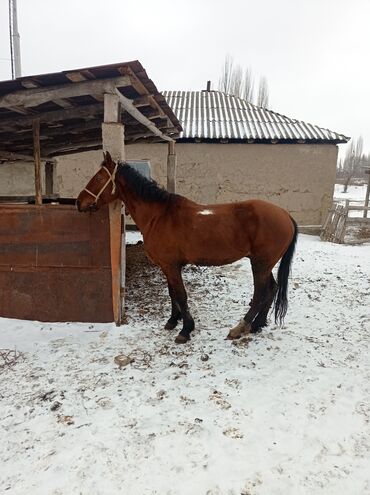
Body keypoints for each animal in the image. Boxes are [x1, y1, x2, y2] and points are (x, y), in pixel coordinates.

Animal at [76, 152, 298, 344]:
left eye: (98, 177)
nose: (79, 202)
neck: (159, 215)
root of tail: (285, 215)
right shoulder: (167, 266)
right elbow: (172, 293)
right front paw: (173, 321)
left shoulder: (171, 265)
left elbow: (181, 295)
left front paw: (185, 330)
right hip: (264, 264)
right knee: (271, 289)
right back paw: (257, 325)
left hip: (260, 263)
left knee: (260, 292)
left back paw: (240, 327)